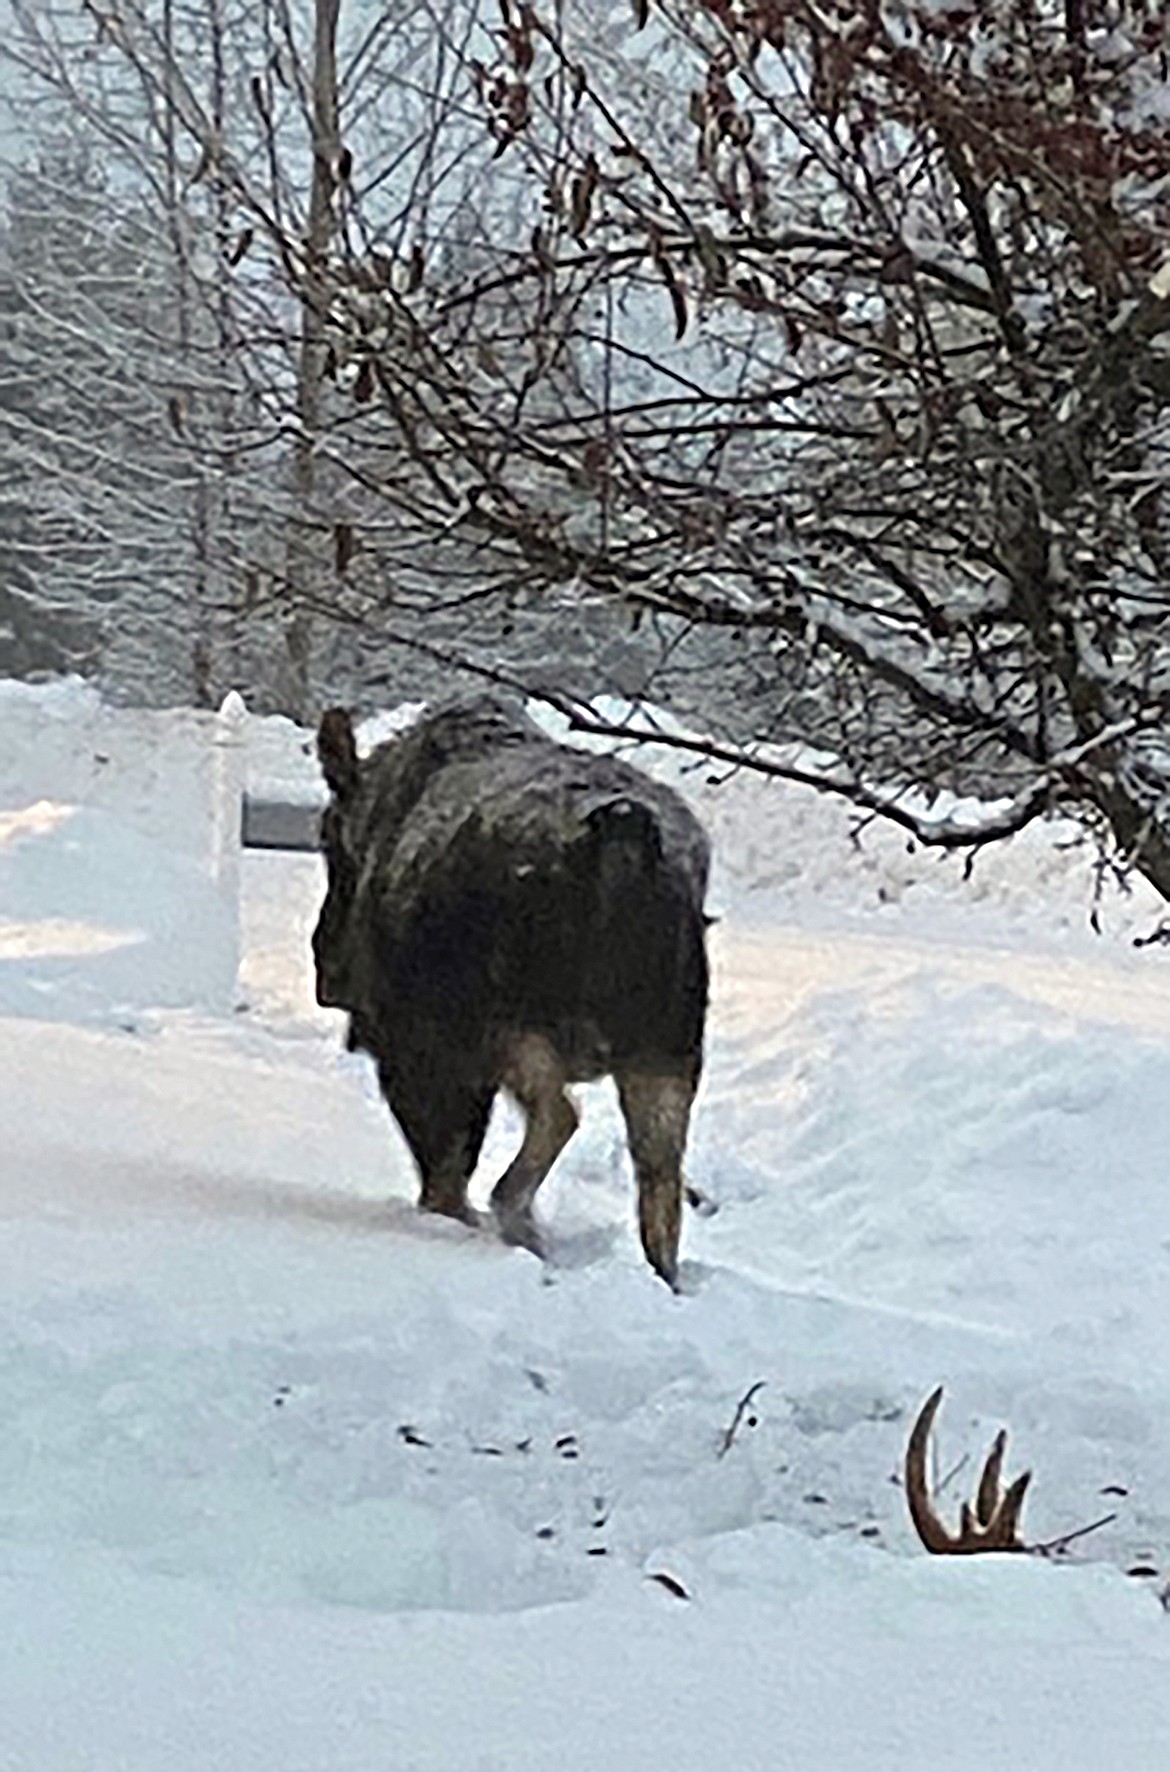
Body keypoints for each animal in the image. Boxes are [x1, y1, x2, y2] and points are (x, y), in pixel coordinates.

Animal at [313, 694, 712, 1290]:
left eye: (327, 842)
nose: (326, 970)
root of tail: (623, 836)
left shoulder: (417, 1054)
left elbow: (443, 1166)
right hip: (665, 1048)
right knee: (660, 1178)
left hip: (509, 1024)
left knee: (558, 1115)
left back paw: (515, 1219)